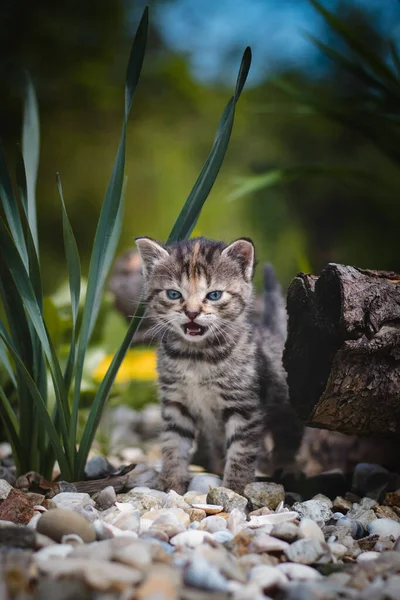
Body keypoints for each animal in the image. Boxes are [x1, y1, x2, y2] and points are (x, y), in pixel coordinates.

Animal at [135, 234, 304, 492]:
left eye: (214, 295)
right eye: (174, 294)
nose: (192, 312)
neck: (196, 357)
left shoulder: (244, 406)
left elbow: (242, 449)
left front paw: (236, 488)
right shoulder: (176, 402)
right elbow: (173, 441)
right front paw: (170, 482)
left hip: (287, 404)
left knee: (289, 435)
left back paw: (287, 466)